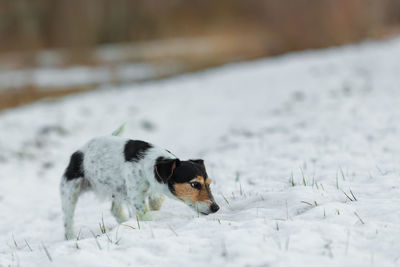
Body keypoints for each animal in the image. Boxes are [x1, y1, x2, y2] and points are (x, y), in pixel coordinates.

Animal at [60, 127, 219, 241]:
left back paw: (125, 224)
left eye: (209, 184)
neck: (151, 163)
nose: (216, 208)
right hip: (70, 192)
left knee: (115, 210)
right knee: (68, 221)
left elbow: (156, 200)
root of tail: (80, 151)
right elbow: (146, 214)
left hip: (118, 190)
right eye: (195, 184)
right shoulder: (135, 195)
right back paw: (71, 238)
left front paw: (155, 203)